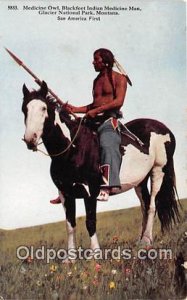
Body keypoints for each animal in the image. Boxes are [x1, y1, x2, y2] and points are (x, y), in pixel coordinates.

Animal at [21, 81, 180, 252]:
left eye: (43, 108)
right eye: (24, 109)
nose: (30, 139)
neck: (73, 149)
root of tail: (166, 129)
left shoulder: (90, 192)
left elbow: (90, 222)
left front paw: (95, 253)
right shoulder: (65, 193)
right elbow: (70, 226)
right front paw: (70, 257)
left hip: (158, 170)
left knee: (151, 205)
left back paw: (146, 241)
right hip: (140, 181)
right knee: (144, 205)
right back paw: (139, 241)